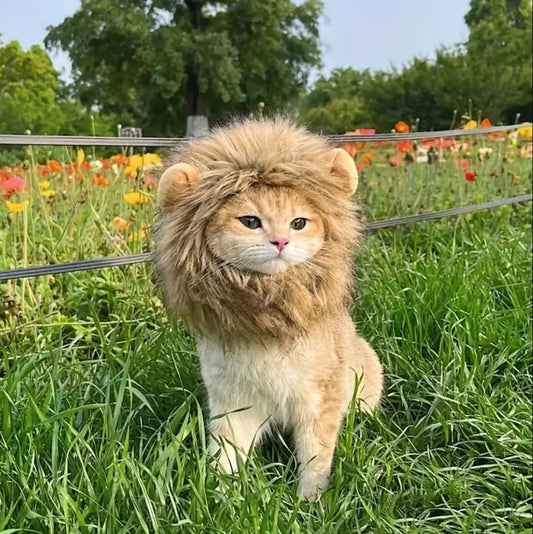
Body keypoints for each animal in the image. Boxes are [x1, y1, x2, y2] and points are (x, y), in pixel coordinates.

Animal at [154, 118, 382, 502]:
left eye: (299, 223)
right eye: (249, 221)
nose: (281, 242)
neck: (269, 321)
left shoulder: (318, 401)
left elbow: (316, 458)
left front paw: (310, 504)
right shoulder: (234, 404)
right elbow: (225, 457)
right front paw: (218, 499)